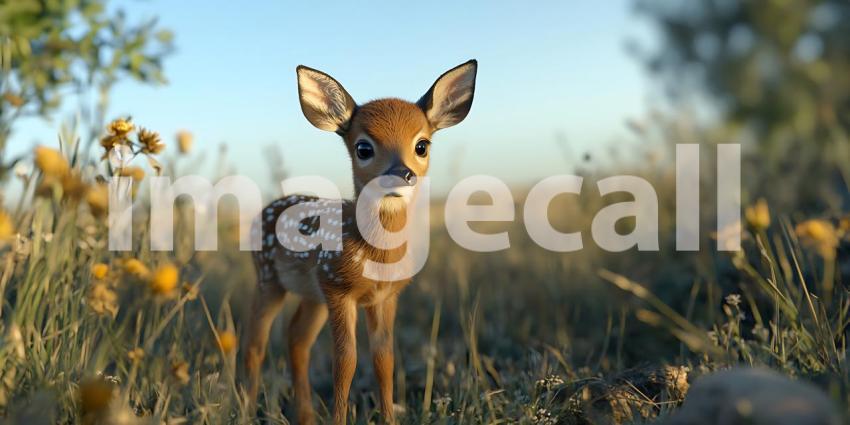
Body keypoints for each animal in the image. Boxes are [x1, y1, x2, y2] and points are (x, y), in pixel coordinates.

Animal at [243, 60, 477, 424]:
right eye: (364, 148)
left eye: (422, 145)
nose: (402, 173)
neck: (373, 254)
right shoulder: (339, 289)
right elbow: (346, 362)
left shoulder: (384, 297)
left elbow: (384, 360)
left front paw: (390, 419)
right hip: (269, 278)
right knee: (255, 344)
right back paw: (245, 411)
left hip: (312, 294)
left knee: (296, 339)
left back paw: (305, 416)